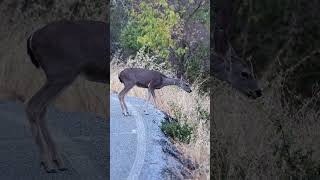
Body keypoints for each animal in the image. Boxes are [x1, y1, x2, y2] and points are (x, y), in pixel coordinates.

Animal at [24, 20, 109, 173]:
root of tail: (33, 37)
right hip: (61, 73)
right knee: (33, 105)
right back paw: (47, 162)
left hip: (60, 77)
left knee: (41, 109)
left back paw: (57, 161)